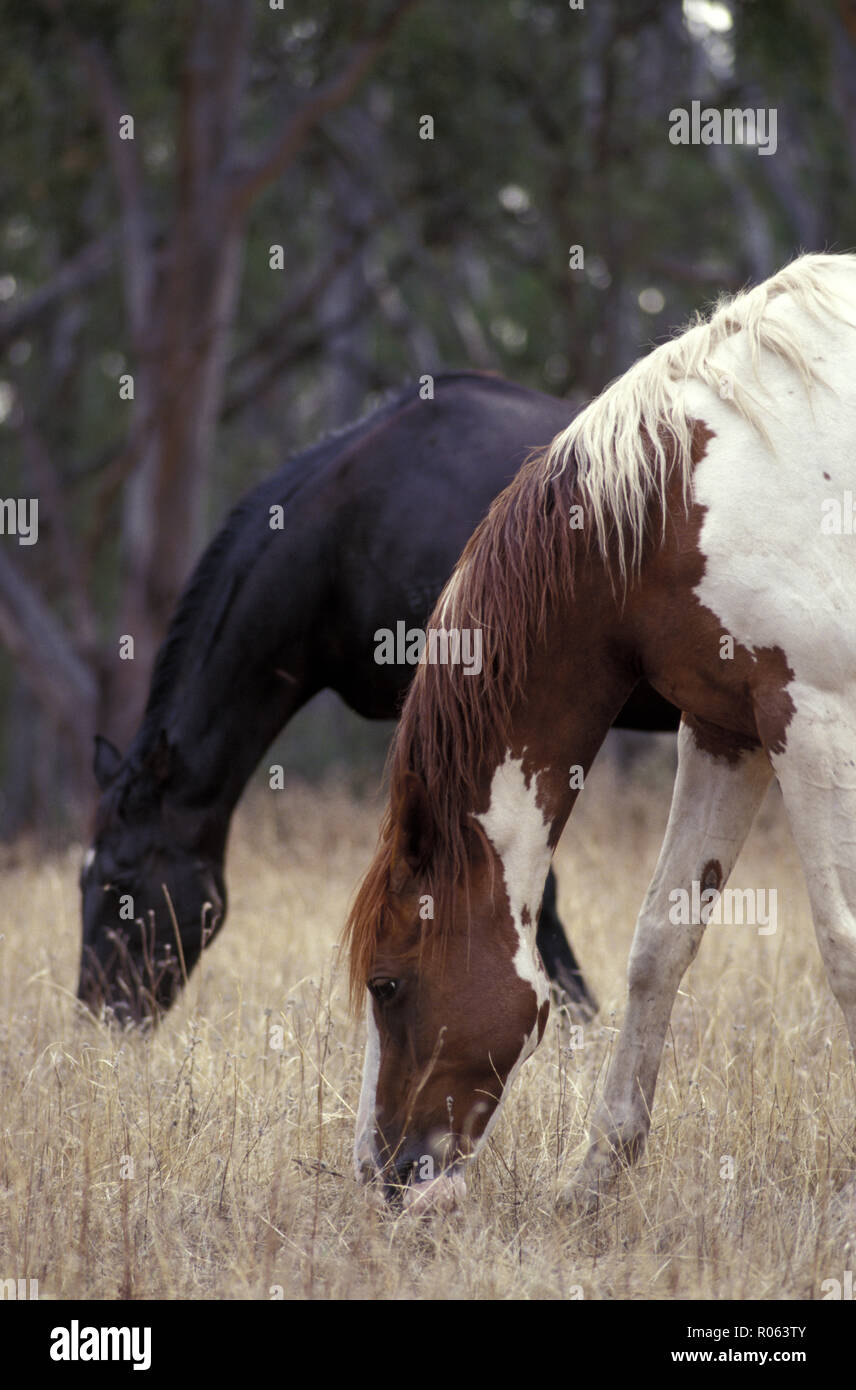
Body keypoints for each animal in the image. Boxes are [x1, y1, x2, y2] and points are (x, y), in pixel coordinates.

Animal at [345, 253, 856, 1211]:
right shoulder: (727, 730)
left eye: (386, 983)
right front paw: (596, 1175)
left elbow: (844, 946)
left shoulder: (815, 721)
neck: (682, 500)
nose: (385, 1175)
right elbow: (660, 942)